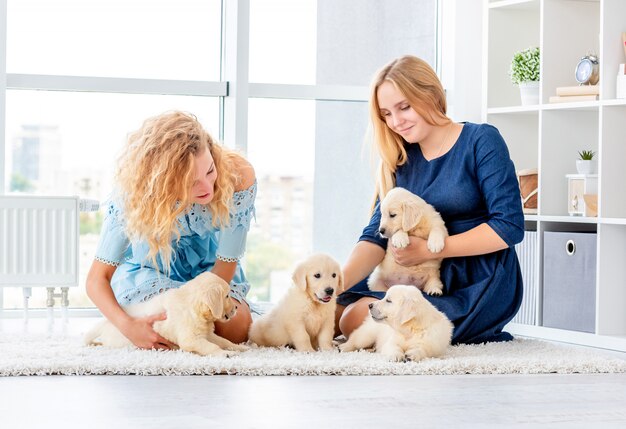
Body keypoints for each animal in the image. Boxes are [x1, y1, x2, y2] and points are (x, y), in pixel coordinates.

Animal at [85, 272, 246, 356]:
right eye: (226, 296)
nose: (237, 307)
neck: (192, 306)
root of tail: (105, 323)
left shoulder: (207, 334)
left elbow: (224, 341)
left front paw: (239, 348)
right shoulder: (191, 339)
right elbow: (211, 346)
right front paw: (225, 353)